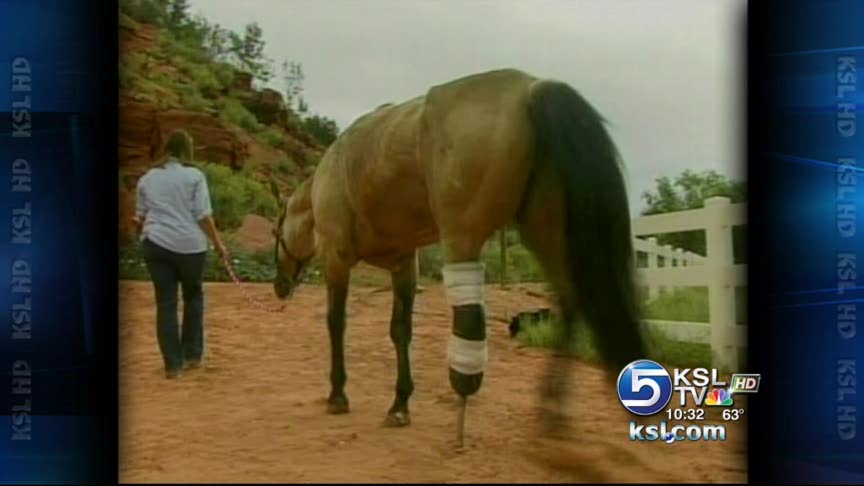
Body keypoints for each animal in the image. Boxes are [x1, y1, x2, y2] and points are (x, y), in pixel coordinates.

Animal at [269, 68, 646, 440]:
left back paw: (465, 410)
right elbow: (400, 329)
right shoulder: (404, 264)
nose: (279, 286)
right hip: (546, 231)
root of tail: (531, 88)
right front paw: (400, 403)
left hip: (463, 236)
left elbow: (336, 322)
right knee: (570, 301)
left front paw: (338, 394)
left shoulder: (337, 259)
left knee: (472, 318)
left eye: (275, 233)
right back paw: (551, 409)